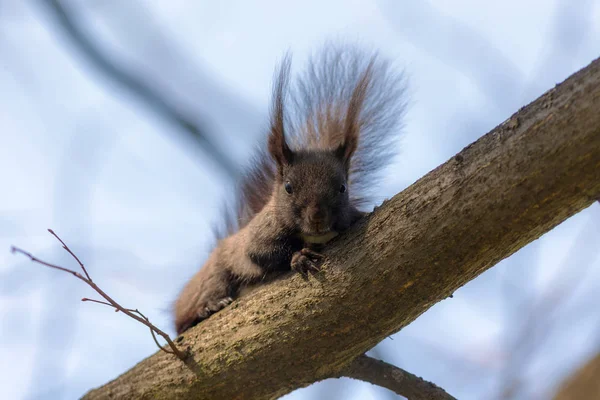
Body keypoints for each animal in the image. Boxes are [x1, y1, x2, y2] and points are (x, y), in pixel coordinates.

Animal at [173, 44, 408, 334]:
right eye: (288, 187)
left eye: (343, 187)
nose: (317, 216)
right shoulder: (260, 233)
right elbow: (260, 252)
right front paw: (298, 257)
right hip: (213, 274)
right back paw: (208, 307)